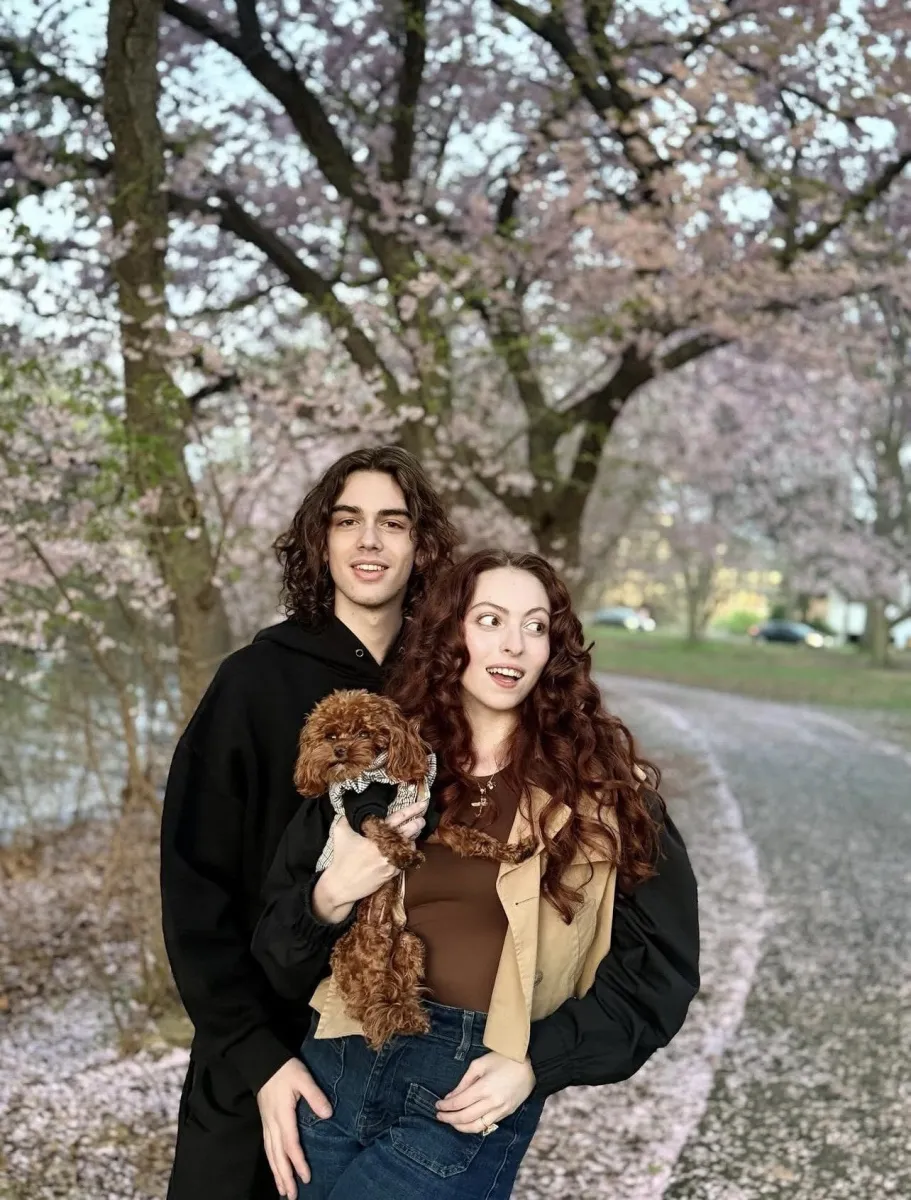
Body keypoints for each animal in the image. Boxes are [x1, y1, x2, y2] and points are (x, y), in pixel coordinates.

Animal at [294, 689, 533, 1049]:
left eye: (363, 732)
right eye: (330, 736)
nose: (339, 751)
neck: (379, 773)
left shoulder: (429, 824)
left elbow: (466, 836)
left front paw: (511, 850)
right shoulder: (361, 808)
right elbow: (379, 826)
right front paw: (403, 854)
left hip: (410, 945)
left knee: (397, 990)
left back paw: (410, 1014)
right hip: (372, 950)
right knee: (375, 1006)